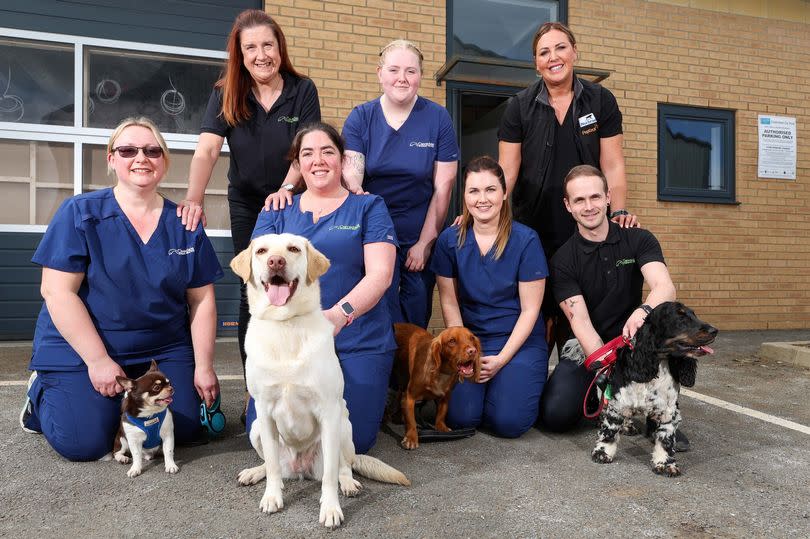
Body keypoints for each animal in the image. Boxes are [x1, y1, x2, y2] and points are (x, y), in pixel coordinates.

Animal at [392, 324, 480, 452]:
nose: (472, 351)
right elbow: (411, 420)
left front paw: (441, 427)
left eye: (472, 338)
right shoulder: (410, 397)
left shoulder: (445, 396)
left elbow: (441, 413)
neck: (442, 372)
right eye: (452, 341)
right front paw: (411, 438)